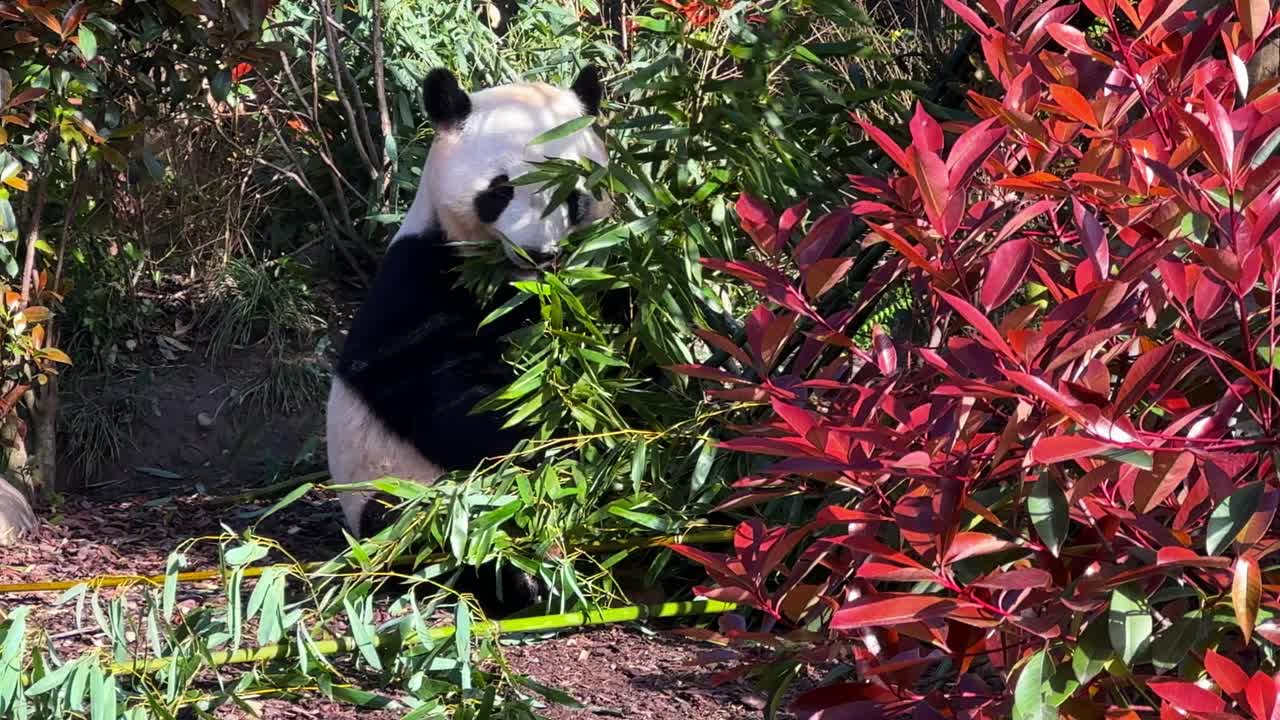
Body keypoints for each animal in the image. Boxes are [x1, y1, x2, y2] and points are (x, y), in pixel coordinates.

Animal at [326, 65, 612, 614]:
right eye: (501, 190)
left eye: (571, 192)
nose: (540, 253)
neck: (519, 281)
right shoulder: (424, 268)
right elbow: (420, 376)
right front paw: (540, 440)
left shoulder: (595, 273)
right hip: (395, 484)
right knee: (416, 528)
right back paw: (517, 577)